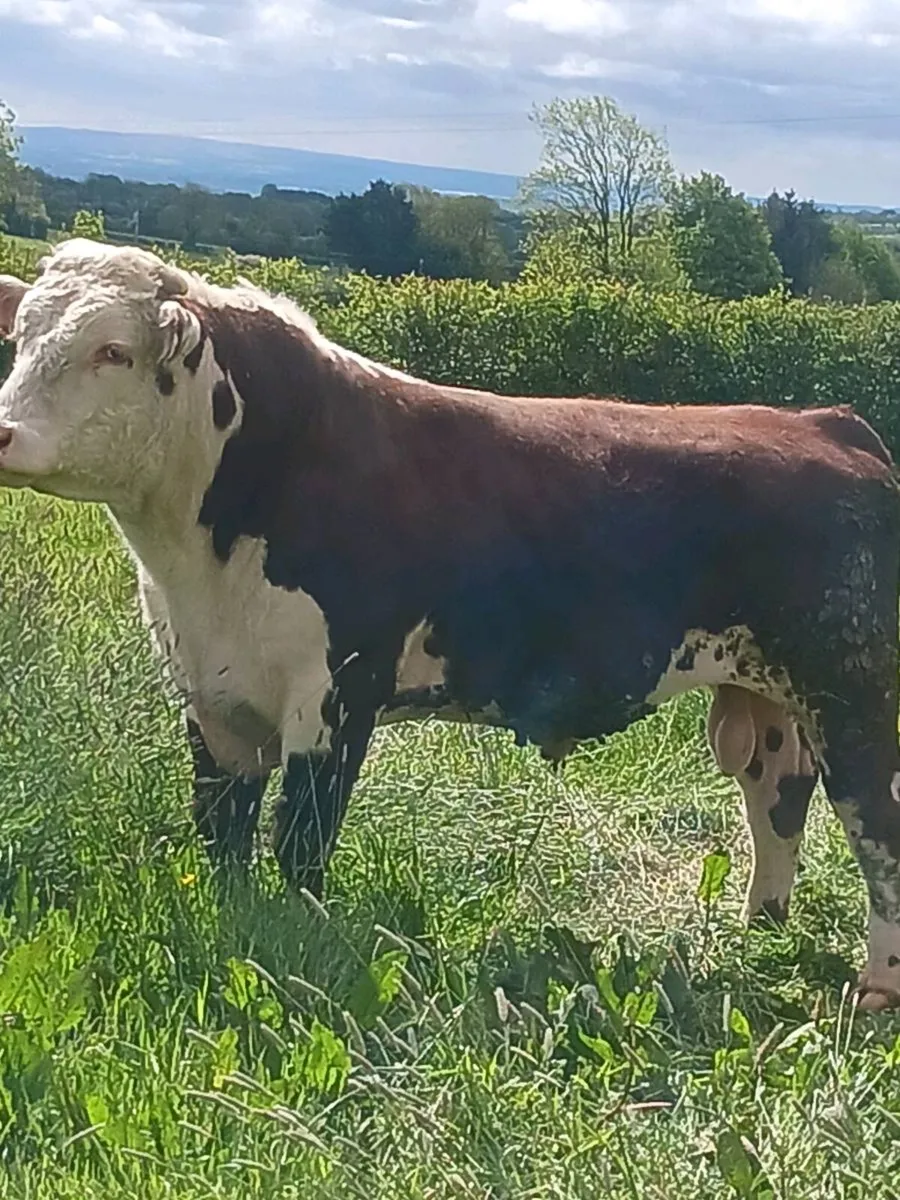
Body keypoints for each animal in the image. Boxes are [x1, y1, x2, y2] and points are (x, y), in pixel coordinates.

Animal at [1, 238, 900, 1012]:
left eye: (112, 352)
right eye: (22, 337)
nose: (4, 430)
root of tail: (827, 423)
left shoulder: (335, 696)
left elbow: (301, 842)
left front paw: (294, 942)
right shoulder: (211, 699)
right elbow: (221, 834)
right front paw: (235, 925)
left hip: (854, 694)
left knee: (876, 825)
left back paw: (874, 991)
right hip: (772, 694)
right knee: (778, 795)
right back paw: (760, 932)